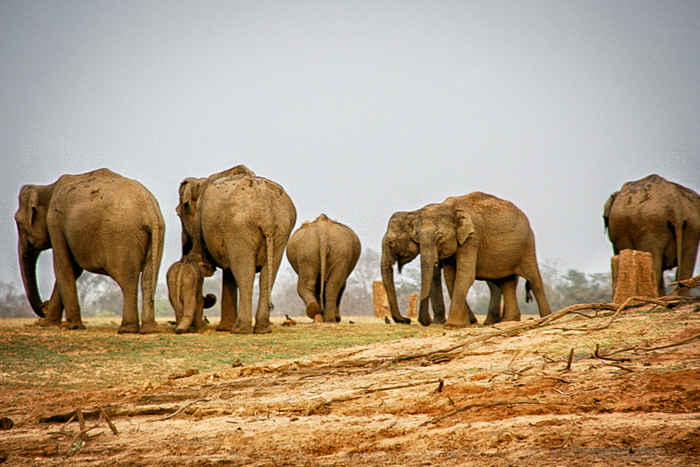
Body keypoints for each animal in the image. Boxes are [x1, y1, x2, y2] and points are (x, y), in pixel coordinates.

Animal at [14, 168, 165, 333]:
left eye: (18, 222)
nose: (44, 305)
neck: (48, 187)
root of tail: (149, 211)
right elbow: (73, 269)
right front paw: (50, 325)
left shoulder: (55, 221)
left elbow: (64, 266)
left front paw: (70, 327)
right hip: (156, 234)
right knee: (148, 279)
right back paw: (148, 329)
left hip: (123, 236)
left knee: (128, 280)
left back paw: (126, 329)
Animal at [176, 165, 296, 334]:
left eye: (178, 213)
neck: (201, 182)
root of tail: (266, 213)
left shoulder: (200, 218)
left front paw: (223, 329)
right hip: (282, 230)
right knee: (267, 275)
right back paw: (262, 329)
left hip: (238, 227)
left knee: (245, 273)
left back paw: (239, 329)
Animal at [412, 192, 551, 328]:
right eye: (417, 238)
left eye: (440, 238)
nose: (427, 321)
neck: (450, 207)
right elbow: (450, 278)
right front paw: (462, 325)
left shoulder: (472, 239)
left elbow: (465, 276)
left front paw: (451, 326)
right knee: (507, 283)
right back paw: (509, 321)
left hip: (527, 246)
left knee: (534, 281)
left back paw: (546, 317)